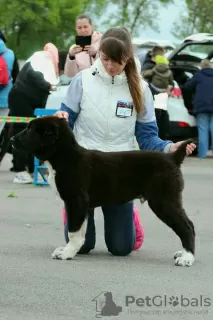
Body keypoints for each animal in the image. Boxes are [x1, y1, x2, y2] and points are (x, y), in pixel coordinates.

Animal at [10, 116, 196, 266]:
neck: (65, 156)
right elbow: (80, 230)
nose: (12, 139)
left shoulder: (76, 200)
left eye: (30, 129)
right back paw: (183, 253)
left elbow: (73, 230)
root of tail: (172, 158)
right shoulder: (81, 205)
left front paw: (68, 252)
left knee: (186, 226)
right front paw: (69, 249)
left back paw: (187, 258)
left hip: (163, 200)